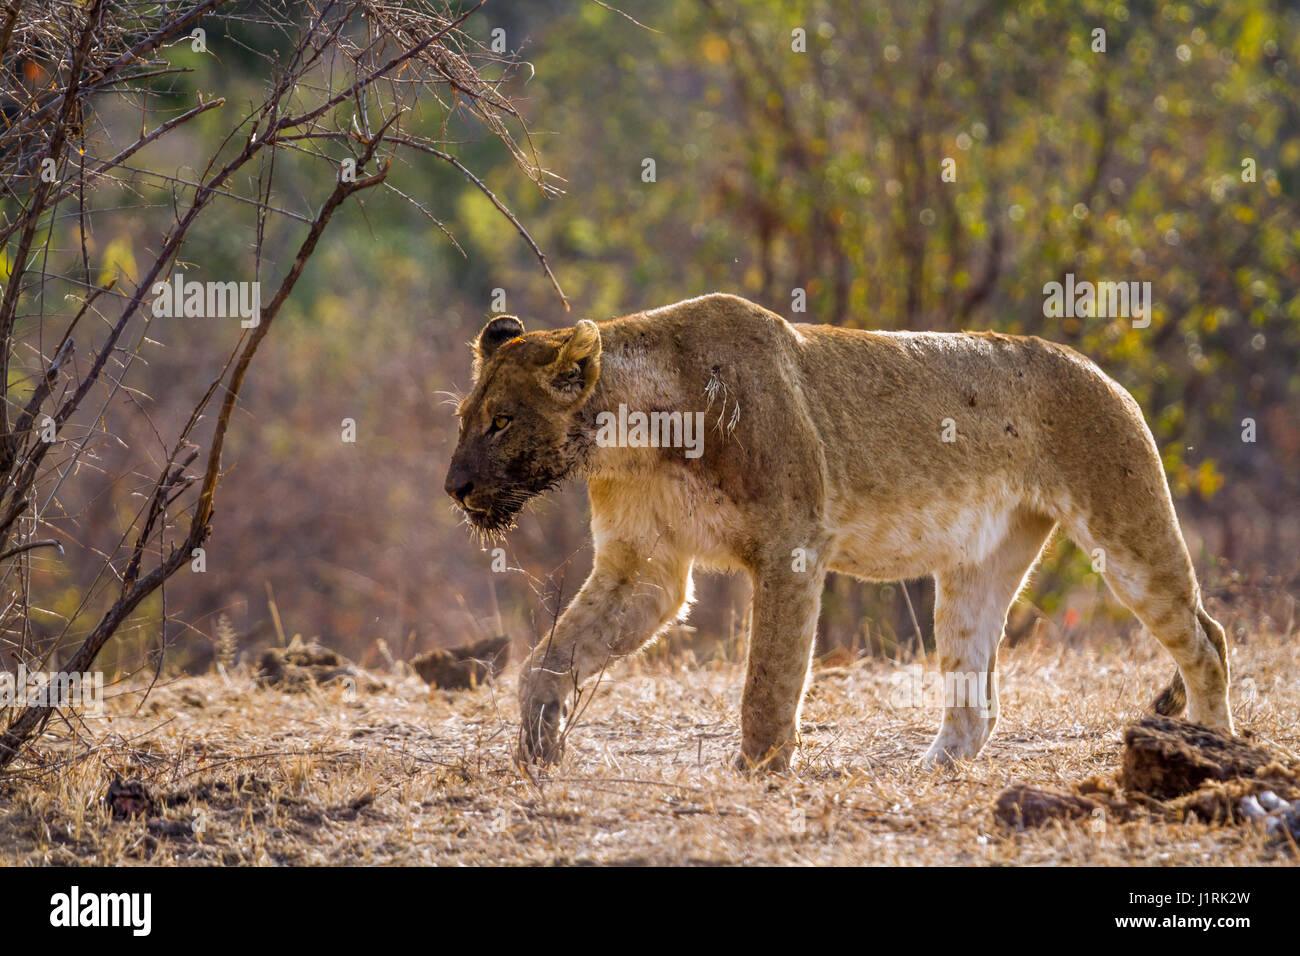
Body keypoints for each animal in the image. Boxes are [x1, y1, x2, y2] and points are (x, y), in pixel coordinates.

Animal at [444, 291, 1227, 770]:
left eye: (502, 421)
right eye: (464, 419)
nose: (454, 488)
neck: (636, 437)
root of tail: (1100, 370)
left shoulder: (792, 546)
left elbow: (768, 681)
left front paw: (758, 773)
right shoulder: (645, 569)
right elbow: (550, 658)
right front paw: (538, 748)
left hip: (1125, 531)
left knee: (1207, 637)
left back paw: (1213, 746)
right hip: (976, 568)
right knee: (977, 693)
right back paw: (933, 768)